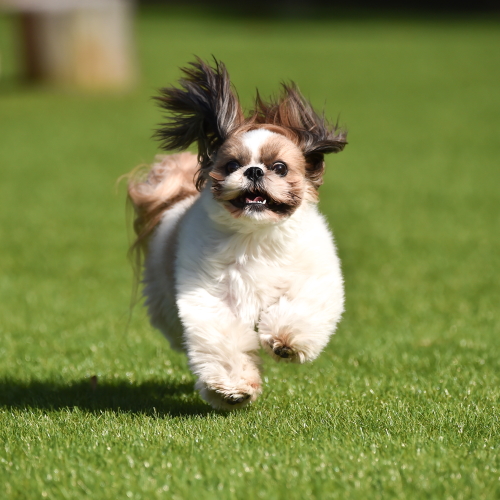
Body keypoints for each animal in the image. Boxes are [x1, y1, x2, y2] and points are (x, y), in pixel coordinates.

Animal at [128, 58, 348, 410]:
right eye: (232, 165)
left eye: (280, 167)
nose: (254, 171)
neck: (255, 238)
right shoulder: (210, 298)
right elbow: (223, 337)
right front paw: (232, 388)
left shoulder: (311, 277)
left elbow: (301, 307)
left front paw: (285, 340)